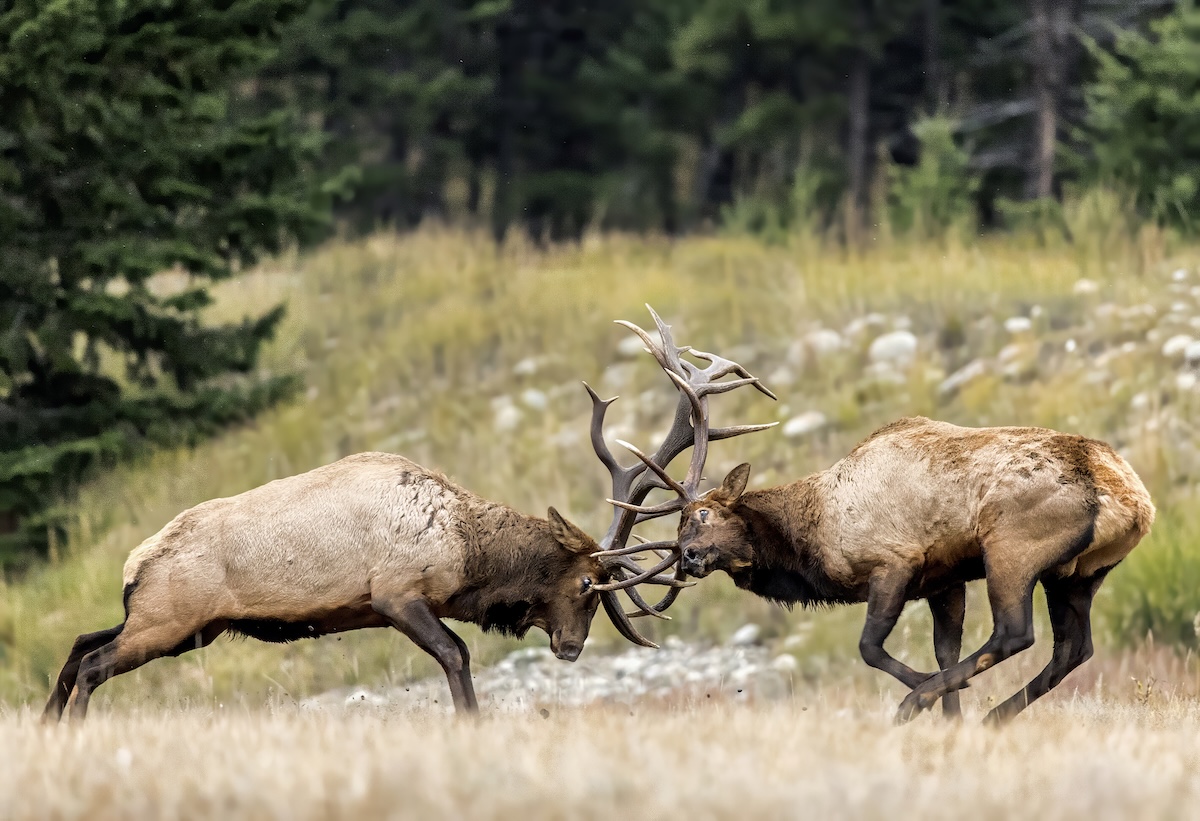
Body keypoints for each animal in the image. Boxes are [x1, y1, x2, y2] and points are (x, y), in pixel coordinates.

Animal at [43, 306, 774, 720]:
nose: (570, 648)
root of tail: (135, 564)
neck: (469, 555)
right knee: (93, 663)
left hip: (177, 621)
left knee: (79, 643)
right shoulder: (395, 594)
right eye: (586, 584)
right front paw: (470, 723)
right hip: (173, 617)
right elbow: (457, 655)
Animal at [620, 408, 1154, 724]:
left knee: (1016, 633)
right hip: (1077, 575)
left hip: (1012, 550)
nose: (688, 557)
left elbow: (870, 648)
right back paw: (991, 719)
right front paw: (952, 717)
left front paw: (925, 697)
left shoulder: (895, 562)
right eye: (677, 534)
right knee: (1074, 648)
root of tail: (1130, 499)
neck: (813, 537)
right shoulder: (945, 579)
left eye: (702, 514)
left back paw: (925, 704)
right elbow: (944, 649)